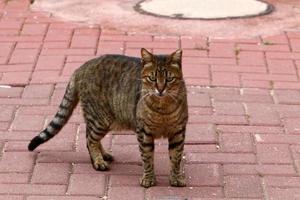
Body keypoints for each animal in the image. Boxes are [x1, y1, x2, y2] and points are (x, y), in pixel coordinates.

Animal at [27, 48, 188, 188]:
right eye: (152, 78)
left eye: (169, 79)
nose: (160, 89)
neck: (163, 108)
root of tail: (81, 68)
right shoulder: (144, 133)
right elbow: (147, 158)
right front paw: (148, 179)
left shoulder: (178, 132)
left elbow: (176, 157)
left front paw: (176, 178)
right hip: (100, 119)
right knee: (89, 139)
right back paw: (98, 161)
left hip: (104, 120)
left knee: (90, 135)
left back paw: (103, 155)